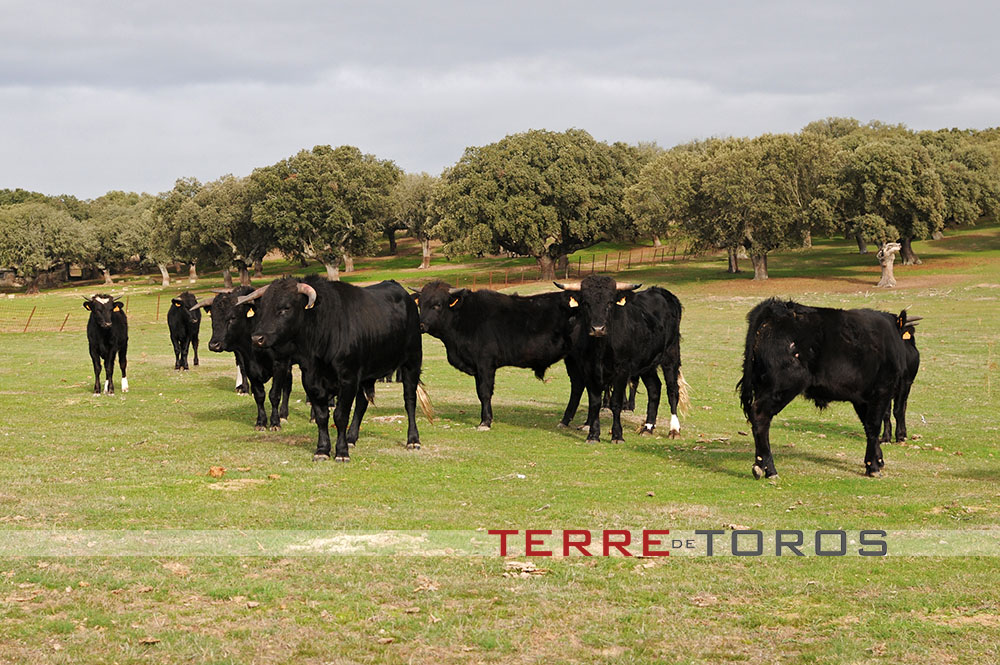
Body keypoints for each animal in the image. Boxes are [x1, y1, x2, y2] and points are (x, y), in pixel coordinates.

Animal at [189, 288, 293, 431]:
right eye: (212, 317)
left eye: (233, 317)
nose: (214, 345)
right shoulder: (250, 367)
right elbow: (259, 395)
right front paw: (261, 422)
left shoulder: (280, 364)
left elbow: (274, 394)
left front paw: (275, 423)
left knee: (288, 386)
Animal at [235, 276, 430, 461]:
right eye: (261, 309)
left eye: (285, 308)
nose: (257, 338)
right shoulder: (311, 380)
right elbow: (322, 417)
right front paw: (322, 450)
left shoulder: (348, 378)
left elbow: (340, 415)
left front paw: (341, 452)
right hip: (367, 375)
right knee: (362, 404)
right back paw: (351, 438)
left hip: (412, 362)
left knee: (409, 400)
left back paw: (413, 440)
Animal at [414, 281, 582, 430]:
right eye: (419, 304)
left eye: (437, 304)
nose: (420, 325)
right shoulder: (477, 367)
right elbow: (479, 393)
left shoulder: (485, 364)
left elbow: (484, 392)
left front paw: (485, 422)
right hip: (572, 359)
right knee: (578, 386)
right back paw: (566, 421)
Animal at [555, 275, 688, 443]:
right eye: (585, 303)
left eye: (610, 302)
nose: (598, 329)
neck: (601, 348)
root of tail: (662, 292)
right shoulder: (588, 369)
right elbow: (594, 402)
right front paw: (593, 435)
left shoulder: (622, 370)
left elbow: (616, 403)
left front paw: (617, 435)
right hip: (647, 363)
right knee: (654, 389)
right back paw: (648, 427)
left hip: (671, 355)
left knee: (672, 390)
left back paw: (674, 429)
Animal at [737, 298, 916, 479]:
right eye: (910, 339)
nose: (915, 354)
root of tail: (776, 307)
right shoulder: (881, 391)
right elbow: (874, 426)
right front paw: (873, 466)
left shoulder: (861, 399)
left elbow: (867, 426)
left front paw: (877, 460)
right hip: (782, 385)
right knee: (760, 416)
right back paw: (769, 469)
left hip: (762, 384)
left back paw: (761, 466)